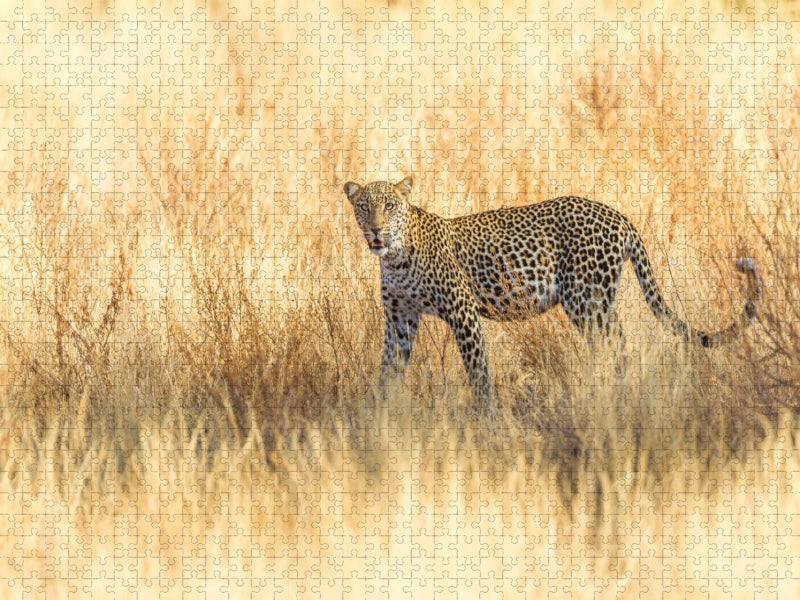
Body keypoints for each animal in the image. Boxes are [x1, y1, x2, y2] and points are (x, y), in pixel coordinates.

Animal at [343, 175, 762, 407]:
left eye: (390, 205)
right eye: (364, 206)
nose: (375, 230)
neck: (395, 258)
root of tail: (620, 216)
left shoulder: (463, 312)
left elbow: (478, 372)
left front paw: (486, 420)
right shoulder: (400, 318)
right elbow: (387, 370)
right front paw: (378, 417)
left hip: (585, 300)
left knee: (616, 347)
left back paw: (617, 395)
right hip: (597, 302)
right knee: (618, 344)